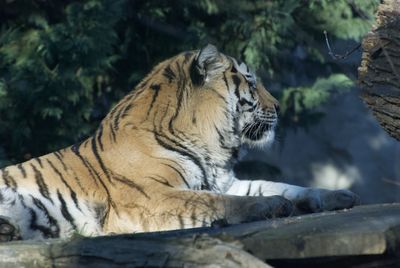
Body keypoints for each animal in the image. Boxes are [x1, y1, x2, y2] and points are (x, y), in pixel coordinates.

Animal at [0, 44, 360, 241]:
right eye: (252, 83)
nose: (279, 107)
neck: (213, 147)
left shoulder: (226, 182)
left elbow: (282, 186)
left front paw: (336, 195)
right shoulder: (147, 195)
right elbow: (211, 201)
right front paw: (270, 207)